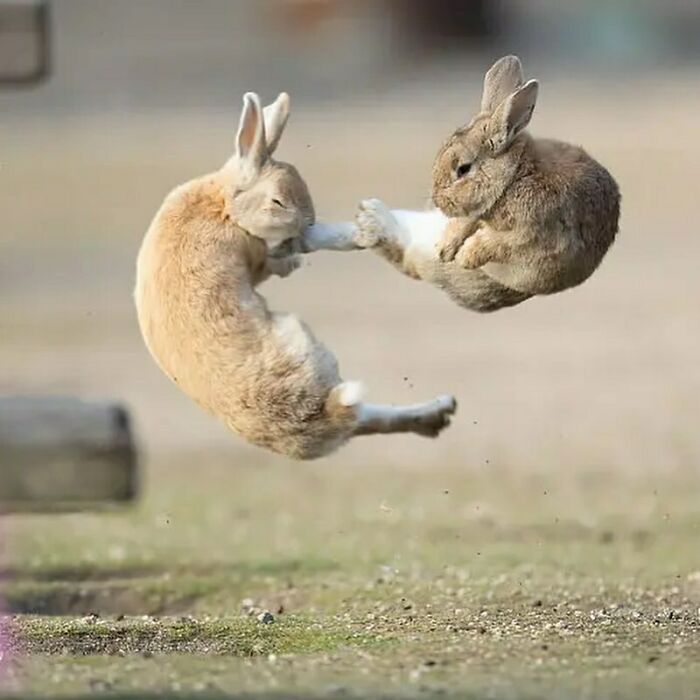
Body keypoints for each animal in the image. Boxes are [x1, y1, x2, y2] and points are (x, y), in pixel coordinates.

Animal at [135, 91, 456, 460]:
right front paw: (345, 239)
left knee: (369, 419)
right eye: (277, 201)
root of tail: (324, 414)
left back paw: (440, 411)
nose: (306, 224)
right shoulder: (258, 254)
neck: (225, 205)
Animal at [300, 55, 620, 313]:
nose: (437, 201)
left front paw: (463, 257)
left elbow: (492, 244)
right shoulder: (473, 214)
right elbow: (464, 226)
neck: (514, 177)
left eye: (463, 169)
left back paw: (366, 220)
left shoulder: (528, 235)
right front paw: (447, 248)